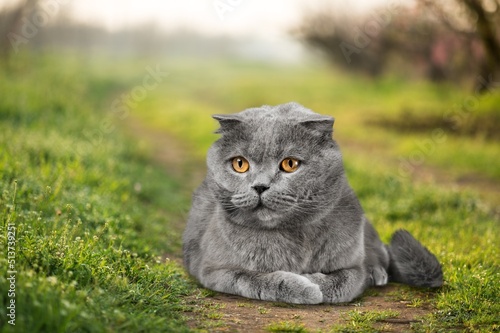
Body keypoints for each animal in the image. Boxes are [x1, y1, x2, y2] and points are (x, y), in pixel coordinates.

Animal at [183, 102, 442, 302]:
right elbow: (254, 279)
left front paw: (315, 283)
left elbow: (345, 281)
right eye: (240, 164)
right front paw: (303, 287)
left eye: (290, 164)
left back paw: (377, 272)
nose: (260, 186)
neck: (293, 236)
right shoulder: (212, 269)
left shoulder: (354, 266)